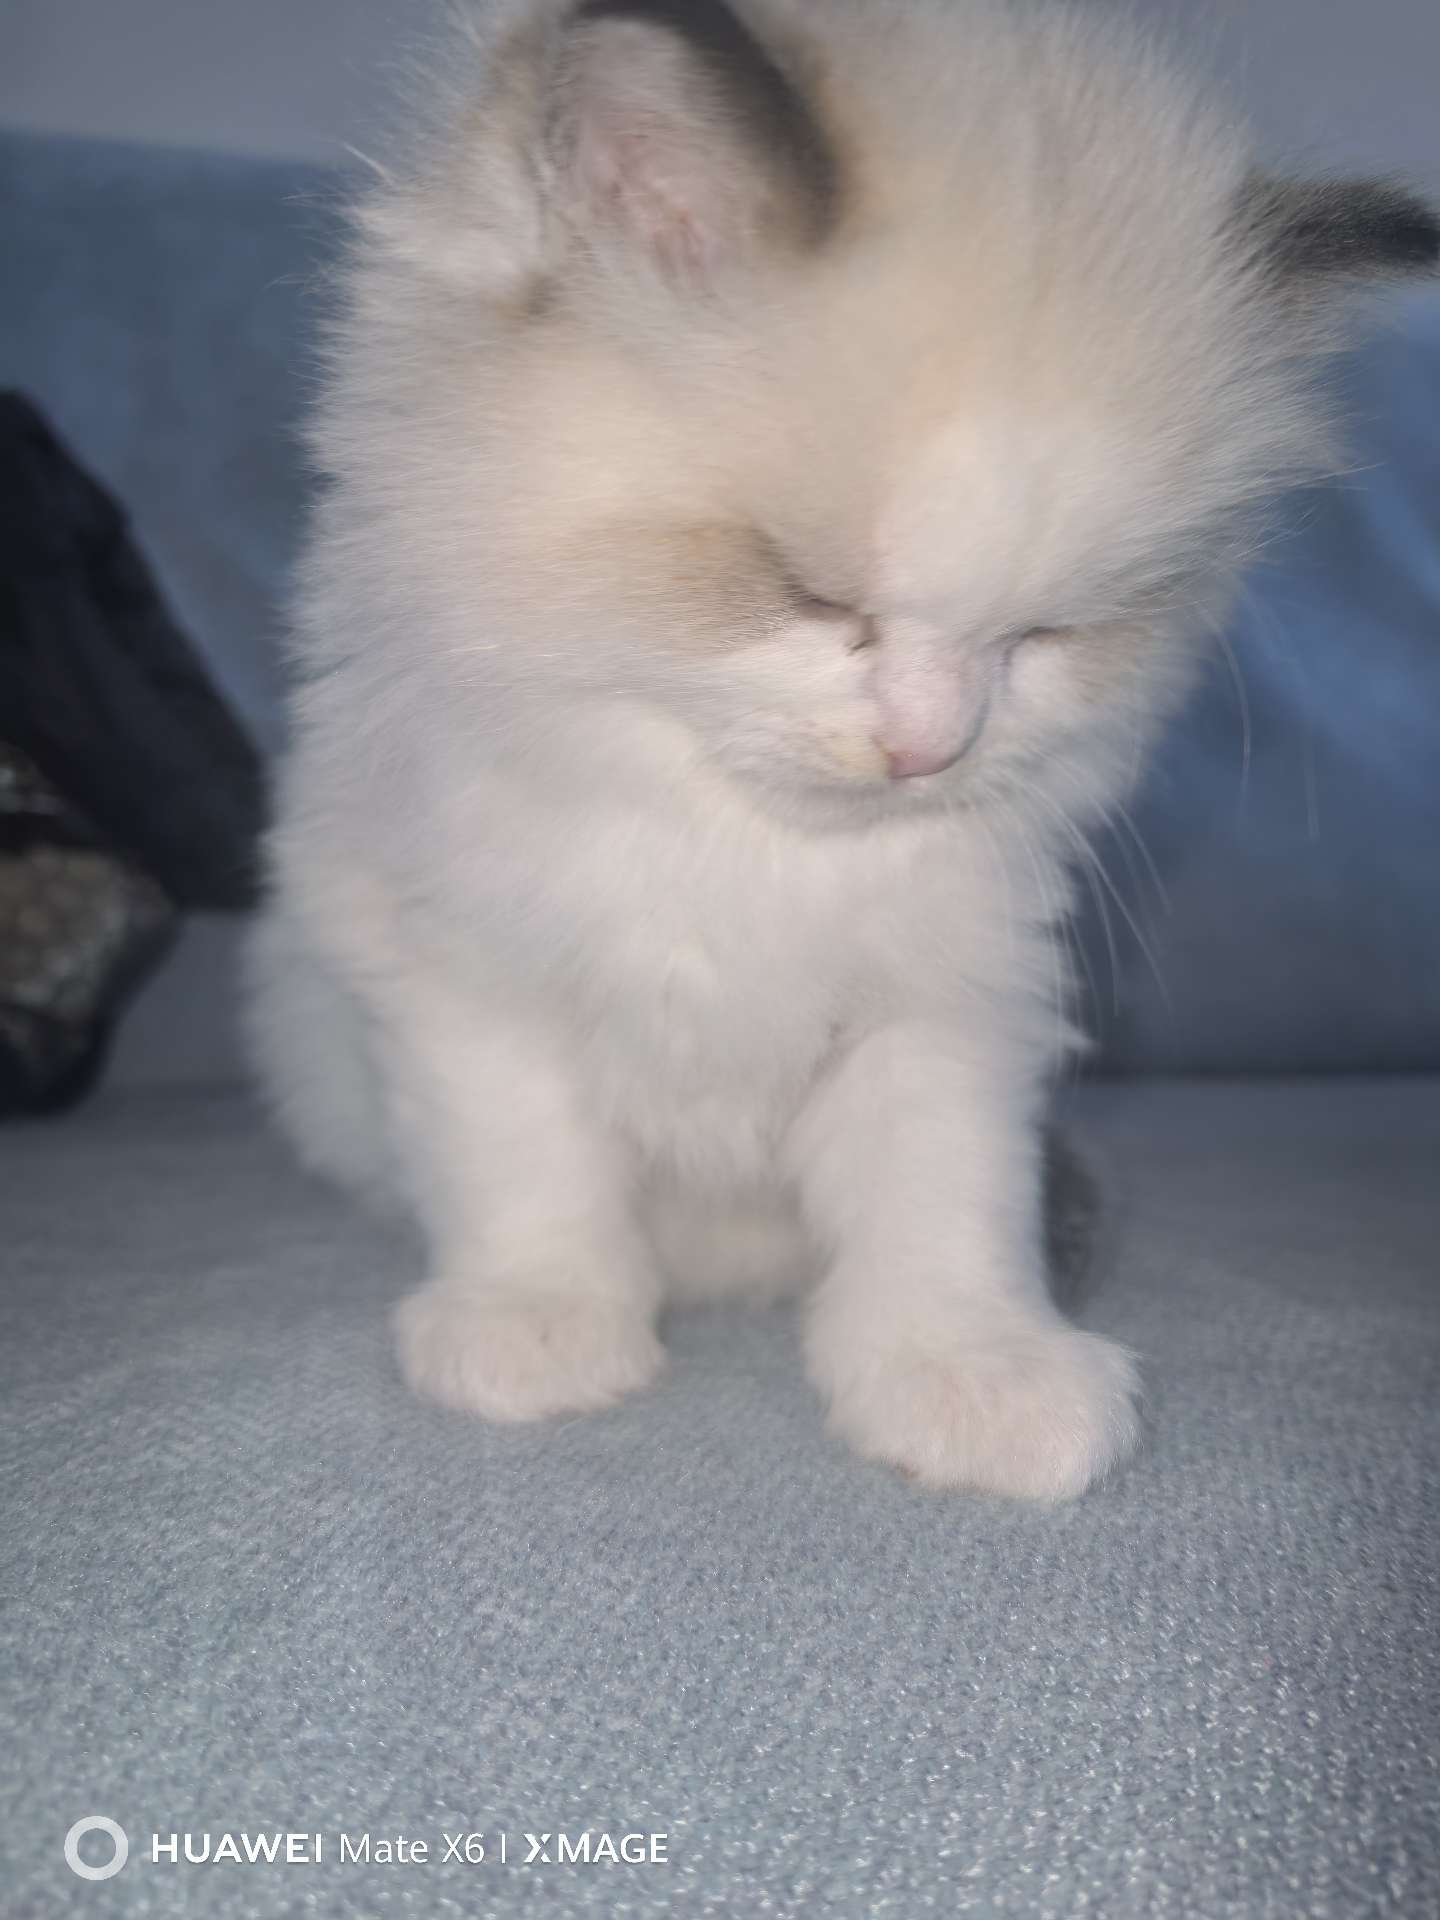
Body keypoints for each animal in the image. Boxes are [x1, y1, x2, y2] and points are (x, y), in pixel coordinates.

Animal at [247, 0, 1438, 1498]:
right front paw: (536, 1331)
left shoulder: (948, 1003)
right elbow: (526, 1162)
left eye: (1045, 634)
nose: (927, 750)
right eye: (811, 597)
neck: (738, 849)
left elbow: (943, 1206)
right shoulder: (458, 963)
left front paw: (973, 1381)